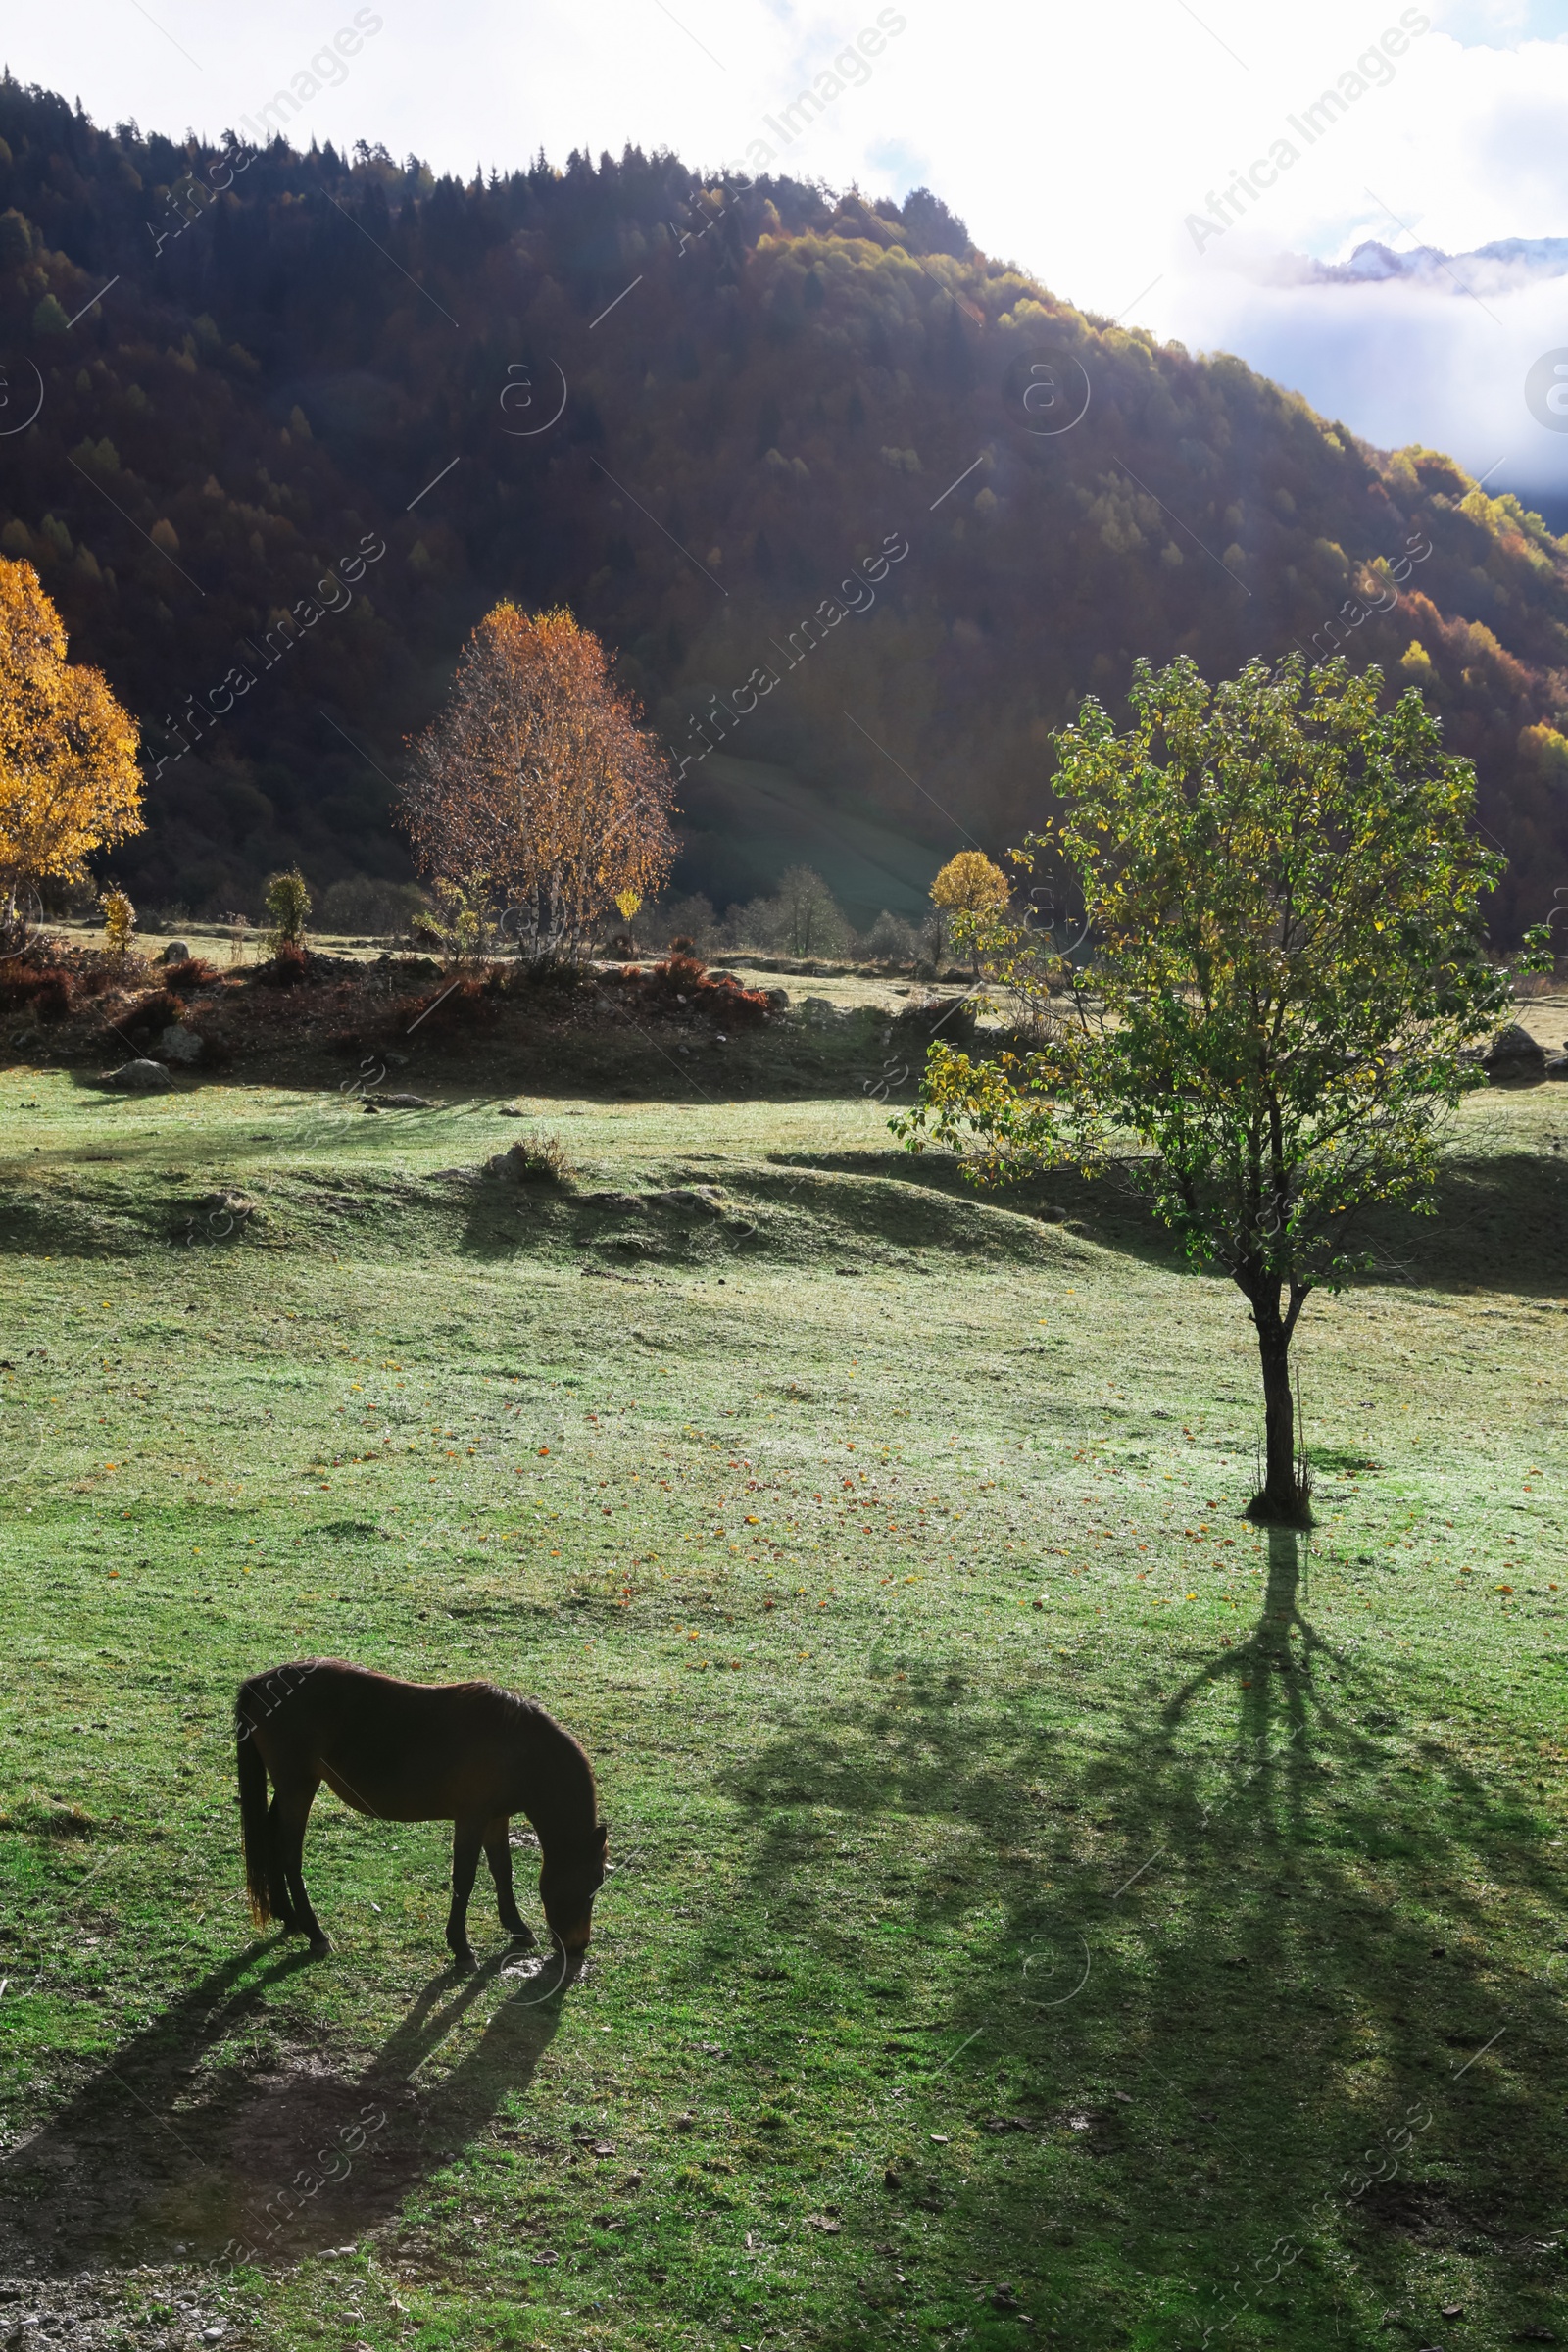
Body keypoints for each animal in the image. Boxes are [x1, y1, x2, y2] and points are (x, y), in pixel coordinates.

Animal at [236, 1665, 611, 1976]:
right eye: (593, 1881)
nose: (578, 1946)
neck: (518, 1749)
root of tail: (260, 1682)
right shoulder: (471, 1819)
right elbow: (464, 1879)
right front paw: (461, 1949)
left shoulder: (495, 1818)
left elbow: (502, 1870)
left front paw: (517, 1928)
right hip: (298, 1788)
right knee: (289, 1853)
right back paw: (315, 1933)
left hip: (290, 1790)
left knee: (271, 1837)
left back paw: (289, 1917)